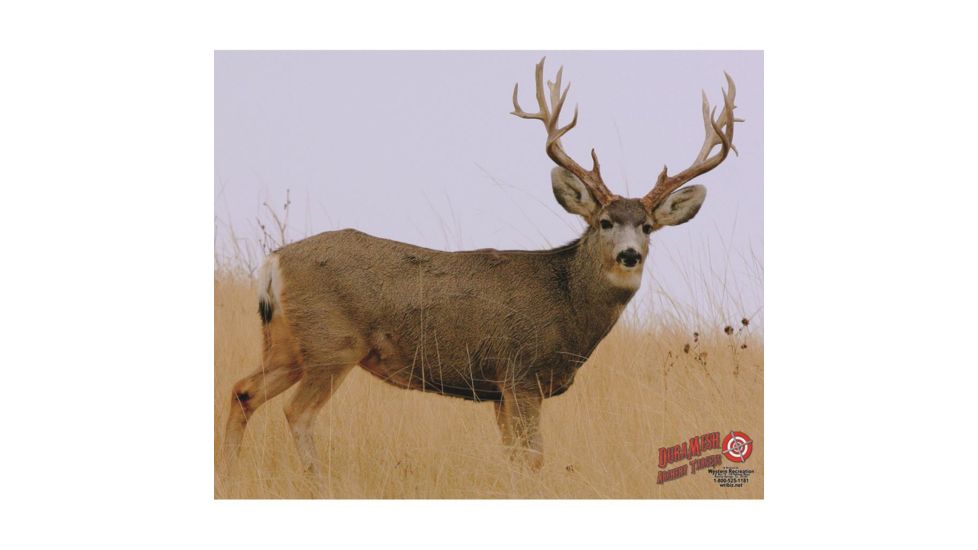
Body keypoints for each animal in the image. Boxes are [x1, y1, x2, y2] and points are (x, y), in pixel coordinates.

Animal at [222, 58, 740, 474]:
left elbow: (513, 459)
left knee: (242, 390)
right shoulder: (521, 374)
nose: (629, 254)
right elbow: (533, 460)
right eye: (605, 222)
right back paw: (316, 480)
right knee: (296, 413)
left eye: (648, 227)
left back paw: (229, 473)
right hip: (333, 344)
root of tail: (273, 261)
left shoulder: (498, 391)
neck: (568, 306)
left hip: (288, 343)